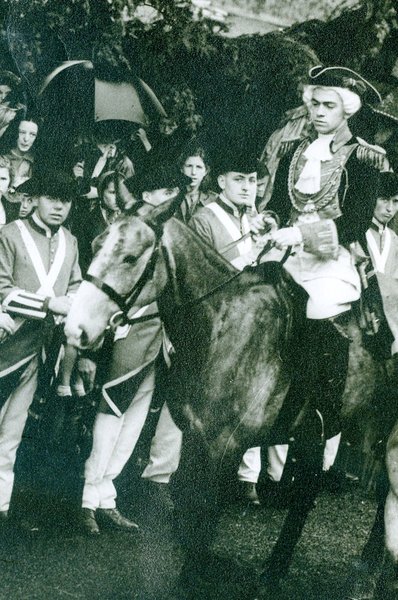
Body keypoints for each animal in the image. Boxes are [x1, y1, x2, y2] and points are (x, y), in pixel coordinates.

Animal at [65, 200, 386, 596]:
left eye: (129, 257)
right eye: (96, 245)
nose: (75, 330)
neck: (221, 321)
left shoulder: (225, 444)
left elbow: (205, 514)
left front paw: (196, 576)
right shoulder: (196, 436)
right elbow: (190, 512)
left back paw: (366, 575)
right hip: (316, 430)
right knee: (306, 492)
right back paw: (274, 571)